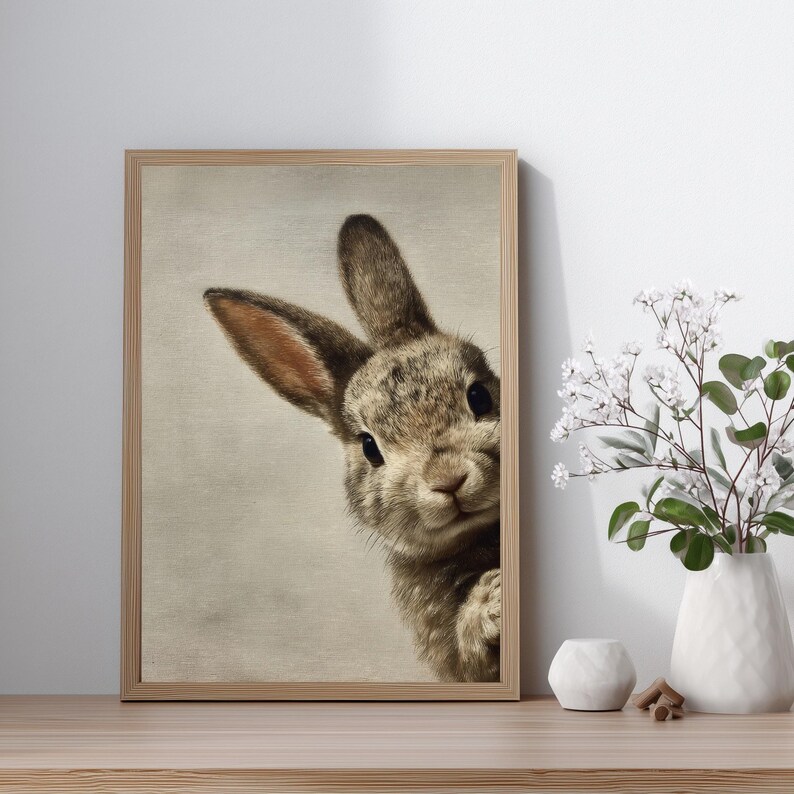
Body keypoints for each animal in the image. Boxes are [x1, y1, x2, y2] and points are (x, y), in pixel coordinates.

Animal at [203, 214, 501, 682]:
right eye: (370, 448)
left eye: (479, 397)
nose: (448, 479)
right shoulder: (453, 661)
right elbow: (467, 654)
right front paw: (492, 603)